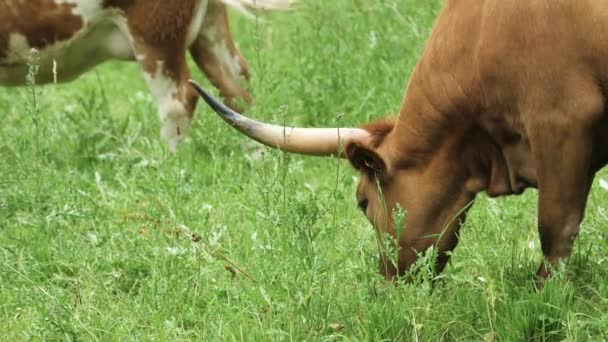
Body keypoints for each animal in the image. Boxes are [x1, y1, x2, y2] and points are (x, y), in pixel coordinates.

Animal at [0, 0, 292, 151]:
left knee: (178, 101)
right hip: (209, 27)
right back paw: (256, 158)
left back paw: (164, 163)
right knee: (237, 90)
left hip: (154, 29)